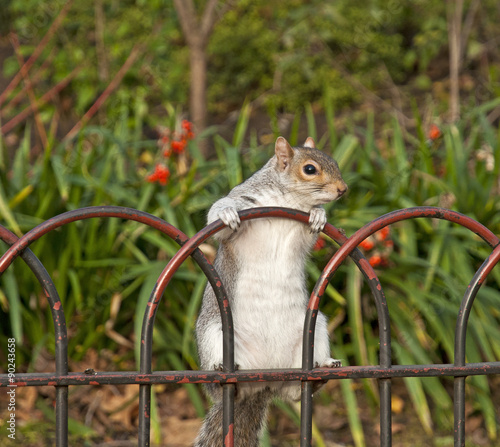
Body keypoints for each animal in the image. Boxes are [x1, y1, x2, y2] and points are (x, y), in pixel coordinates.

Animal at [195, 137, 348, 447]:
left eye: (335, 162)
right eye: (310, 169)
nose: (343, 189)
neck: (288, 201)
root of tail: (263, 381)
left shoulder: (300, 235)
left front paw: (319, 214)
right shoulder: (245, 201)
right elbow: (222, 218)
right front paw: (226, 213)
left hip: (316, 332)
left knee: (294, 392)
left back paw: (322, 369)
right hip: (214, 334)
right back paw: (222, 372)